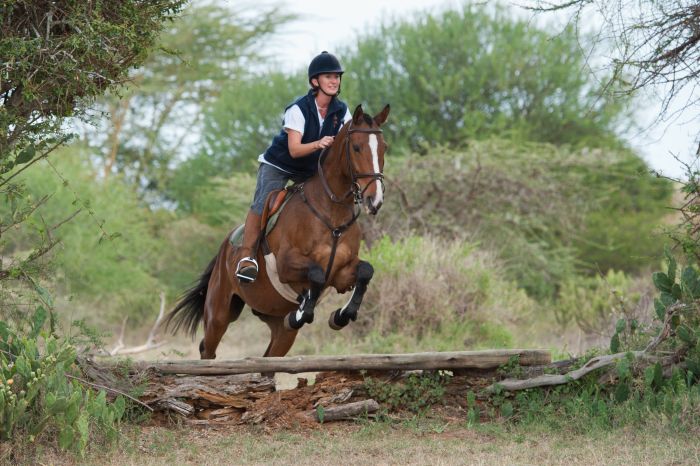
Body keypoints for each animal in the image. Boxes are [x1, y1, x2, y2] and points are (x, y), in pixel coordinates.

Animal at [166, 104, 392, 358]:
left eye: (384, 148)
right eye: (356, 147)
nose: (375, 200)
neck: (330, 212)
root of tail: (224, 246)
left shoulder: (341, 273)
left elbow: (365, 271)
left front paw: (341, 315)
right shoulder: (286, 265)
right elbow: (316, 274)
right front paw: (302, 312)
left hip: (277, 324)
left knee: (271, 352)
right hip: (219, 311)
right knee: (208, 347)